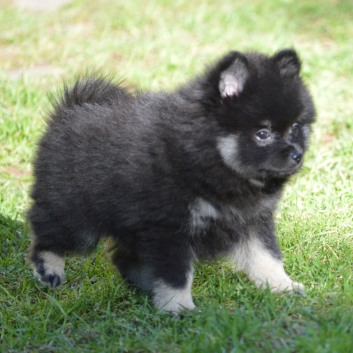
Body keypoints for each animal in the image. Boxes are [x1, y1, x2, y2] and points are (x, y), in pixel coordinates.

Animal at [26, 48, 314, 310]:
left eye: (295, 127)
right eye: (262, 133)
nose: (297, 155)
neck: (209, 158)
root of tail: (69, 111)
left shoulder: (252, 220)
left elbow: (267, 256)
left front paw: (283, 286)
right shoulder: (170, 228)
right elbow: (176, 273)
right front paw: (179, 307)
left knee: (124, 258)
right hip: (78, 215)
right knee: (46, 229)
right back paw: (49, 269)